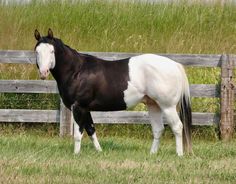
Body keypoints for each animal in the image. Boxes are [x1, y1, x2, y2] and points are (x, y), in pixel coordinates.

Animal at [33, 28, 192, 155]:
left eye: (52, 51)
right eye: (37, 51)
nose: (43, 72)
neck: (76, 71)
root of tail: (175, 65)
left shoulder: (78, 107)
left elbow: (78, 134)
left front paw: (76, 154)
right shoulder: (86, 109)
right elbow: (91, 130)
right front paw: (99, 151)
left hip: (167, 106)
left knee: (177, 127)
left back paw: (179, 154)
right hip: (154, 105)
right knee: (158, 129)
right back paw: (152, 154)